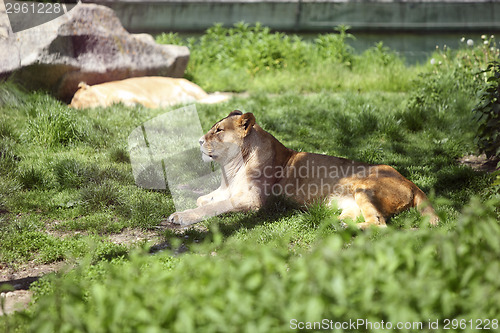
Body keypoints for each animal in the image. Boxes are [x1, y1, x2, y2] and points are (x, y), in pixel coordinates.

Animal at [167, 109, 438, 228]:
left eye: (219, 130)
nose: (199, 141)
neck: (231, 168)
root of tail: (411, 182)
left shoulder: (255, 202)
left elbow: (213, 207)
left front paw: (181, 216)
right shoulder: (227, 190)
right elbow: (204, 199)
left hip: (363, 186)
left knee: (380, 224)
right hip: (347, 202)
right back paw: (338, 224)